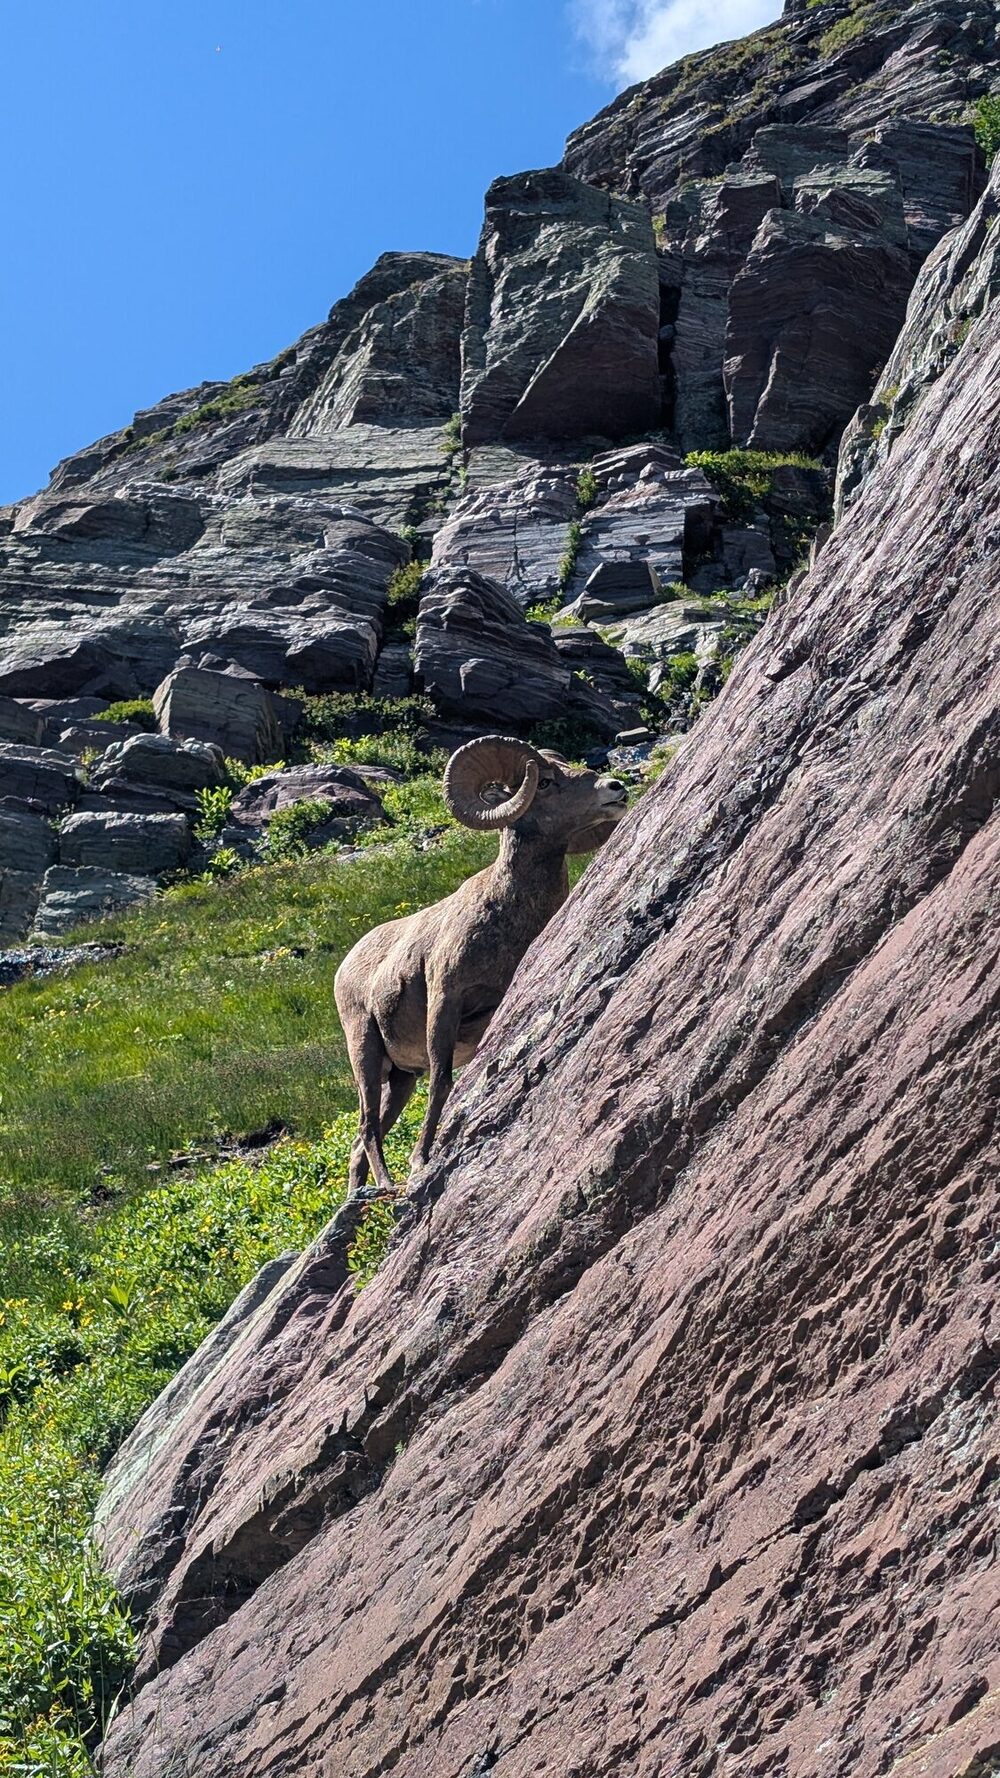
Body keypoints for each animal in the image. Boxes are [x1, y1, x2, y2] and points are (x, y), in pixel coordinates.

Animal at [334, 734, 628, 1194]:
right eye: (545, 782)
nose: (616, 788)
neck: (509, 917)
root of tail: (344, 967)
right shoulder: (446, 999)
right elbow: (442, 1083)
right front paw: (421, 1162)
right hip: (364, 1048)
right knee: (367, 1127)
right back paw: (389, 1186)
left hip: (400, 1078)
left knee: (362, 1139)